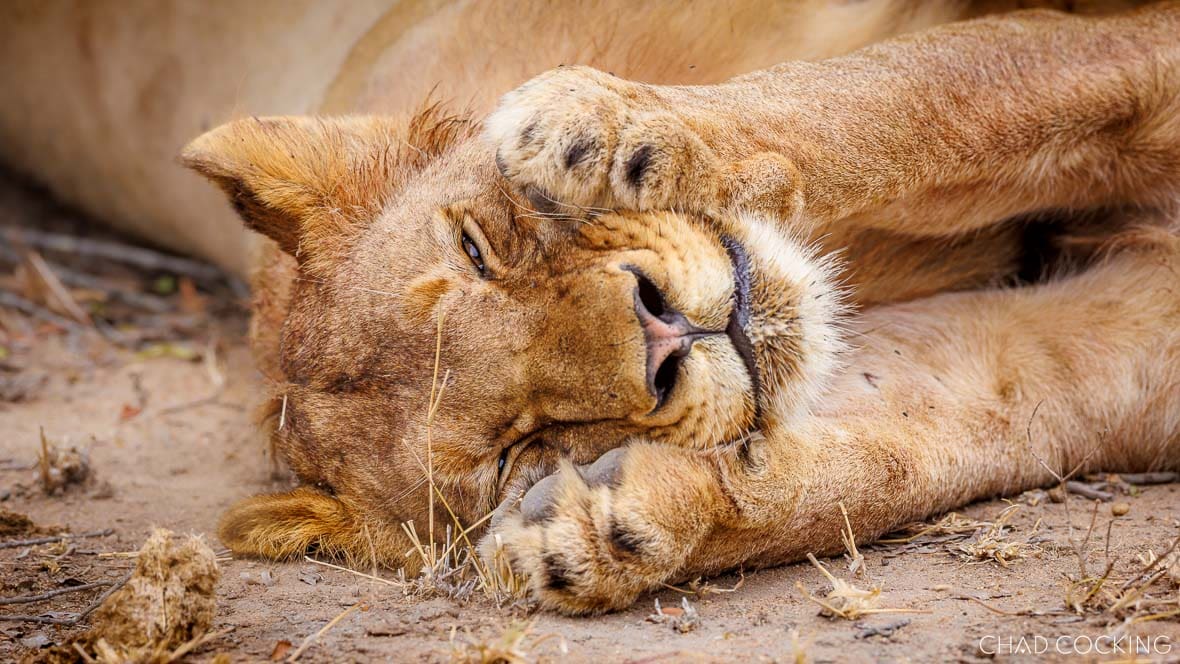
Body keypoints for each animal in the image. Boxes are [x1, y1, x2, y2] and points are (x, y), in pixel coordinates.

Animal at [4, 1, 1179, 615]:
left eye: (477, 249)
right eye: (520, 447)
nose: (663, 329)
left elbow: (936, 85)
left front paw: (604, 125)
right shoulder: (1135, 323)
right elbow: (947, 430)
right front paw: (605, 526)